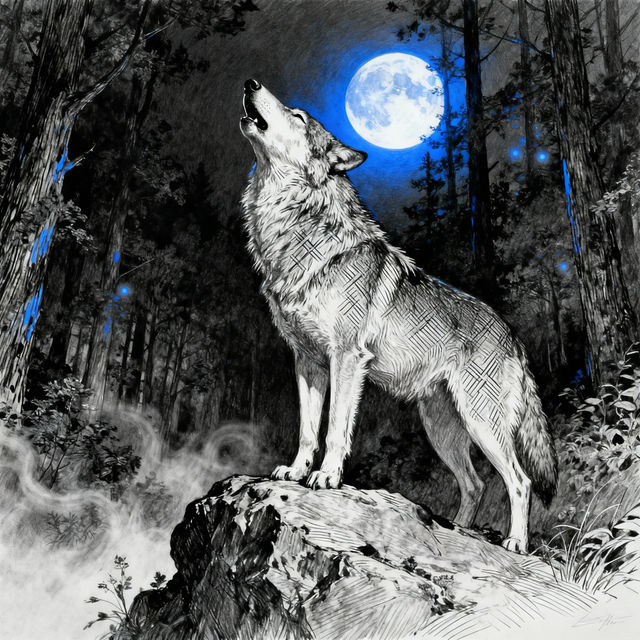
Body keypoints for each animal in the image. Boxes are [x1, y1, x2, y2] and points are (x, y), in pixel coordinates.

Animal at [239, 78, 557, 552]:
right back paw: (457, 533)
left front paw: (326, 477)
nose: (250, 83)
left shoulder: (347, 358)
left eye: (297, 116)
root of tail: (513, 337)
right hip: (442, 430)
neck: (301, 235)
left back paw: (516, 543)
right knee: (476, 484)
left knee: (519, 481)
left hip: (482, 425)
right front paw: (295, 472)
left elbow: (335, 428)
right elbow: (307, 429)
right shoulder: (308, 362)